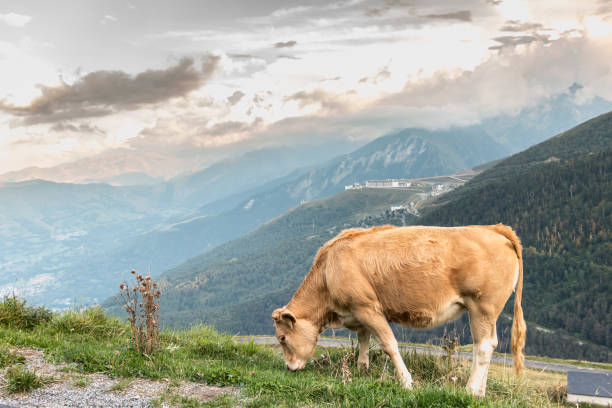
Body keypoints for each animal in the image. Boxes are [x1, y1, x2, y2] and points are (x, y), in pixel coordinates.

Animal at [272, 225, 524, 396]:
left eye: (282, 338)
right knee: (491, 344)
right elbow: (363, 339)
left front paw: (406, 382)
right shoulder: (359, 310)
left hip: (482, 306)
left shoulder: (368, 308)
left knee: (483, 346)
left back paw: (470, 390)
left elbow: (389, 345)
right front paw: (362, 368)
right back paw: (481, 391)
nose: (289, 367)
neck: (327, 272)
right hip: (489, 311)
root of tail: (494, 229)